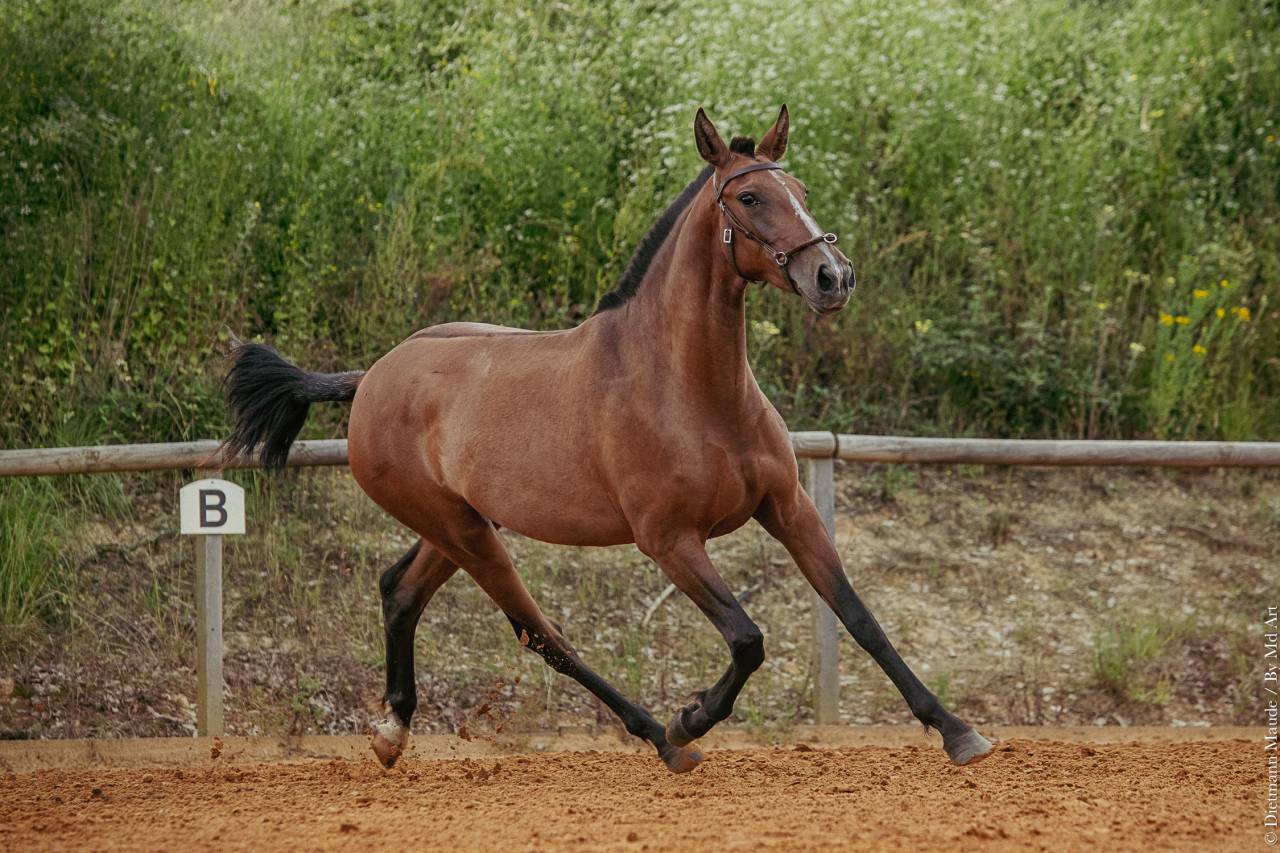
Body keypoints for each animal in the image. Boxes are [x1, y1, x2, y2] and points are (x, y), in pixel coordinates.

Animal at [222, 106, 993, 773]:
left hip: (461, 524)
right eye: (748, 198)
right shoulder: (669, 540)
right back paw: (661, 738)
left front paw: (958, 731)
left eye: (799, 190)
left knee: (400, 590)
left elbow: (859, 615)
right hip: (462, 531)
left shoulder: (789, 509)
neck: (692, 390)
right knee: (542, 633)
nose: (833, 277)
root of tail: (373, 377)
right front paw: (691, 717)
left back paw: (392, 731)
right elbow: (748, 639)